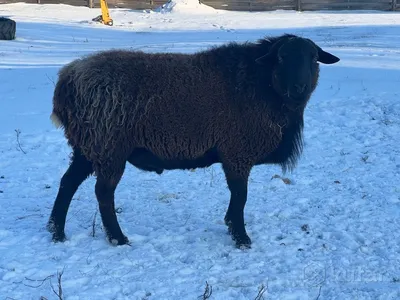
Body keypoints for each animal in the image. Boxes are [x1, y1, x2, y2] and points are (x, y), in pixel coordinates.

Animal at [47, 33, 340, 248]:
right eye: (281, 57)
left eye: (313, 57)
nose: (299, 87)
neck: (264, 87)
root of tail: (67, 81)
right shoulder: (237, 153)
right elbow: (240, 196)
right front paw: (241, 237)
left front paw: (233, 227)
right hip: (109, 148)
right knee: (103, 193)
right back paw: (118, 238)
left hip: (87, 147)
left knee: (67, 183)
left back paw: (56, 231)